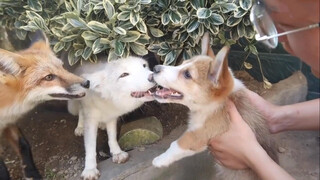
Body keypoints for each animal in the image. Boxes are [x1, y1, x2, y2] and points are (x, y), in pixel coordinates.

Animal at [0, 30, 89, 179]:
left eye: (62, 67)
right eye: (48, 77)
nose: (87, 83)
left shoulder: (8, 121)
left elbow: (24, 145)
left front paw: (32, 174)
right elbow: (2, 168)